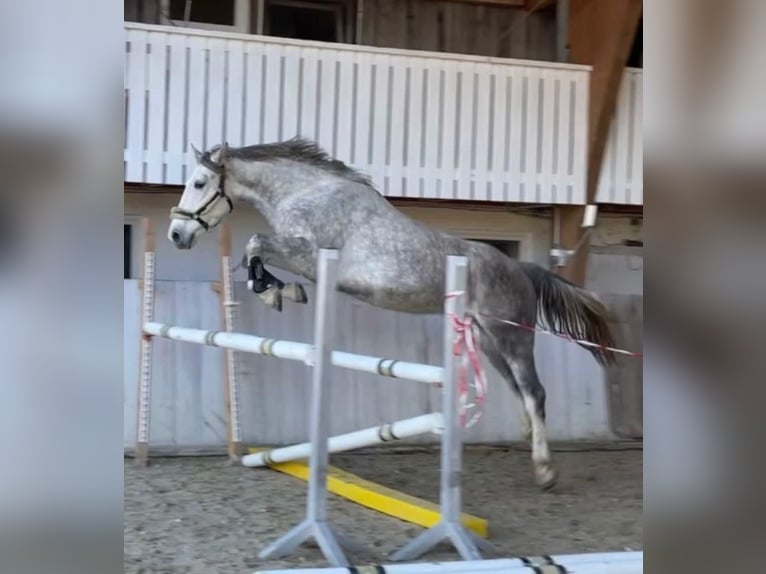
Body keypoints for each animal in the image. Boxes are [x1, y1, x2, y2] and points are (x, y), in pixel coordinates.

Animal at [168, 138, 616, 490]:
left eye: (200, 183)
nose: (177, 234)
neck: (306, 193)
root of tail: (520, 268)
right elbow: (253, 252)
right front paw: (277, 291)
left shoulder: (308, 255)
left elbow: (256, 244)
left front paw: (276, 292)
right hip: (488, 341)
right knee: (519, 390)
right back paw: (530, 445)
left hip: (511, 335)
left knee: (534, 391)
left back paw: (545, 471)